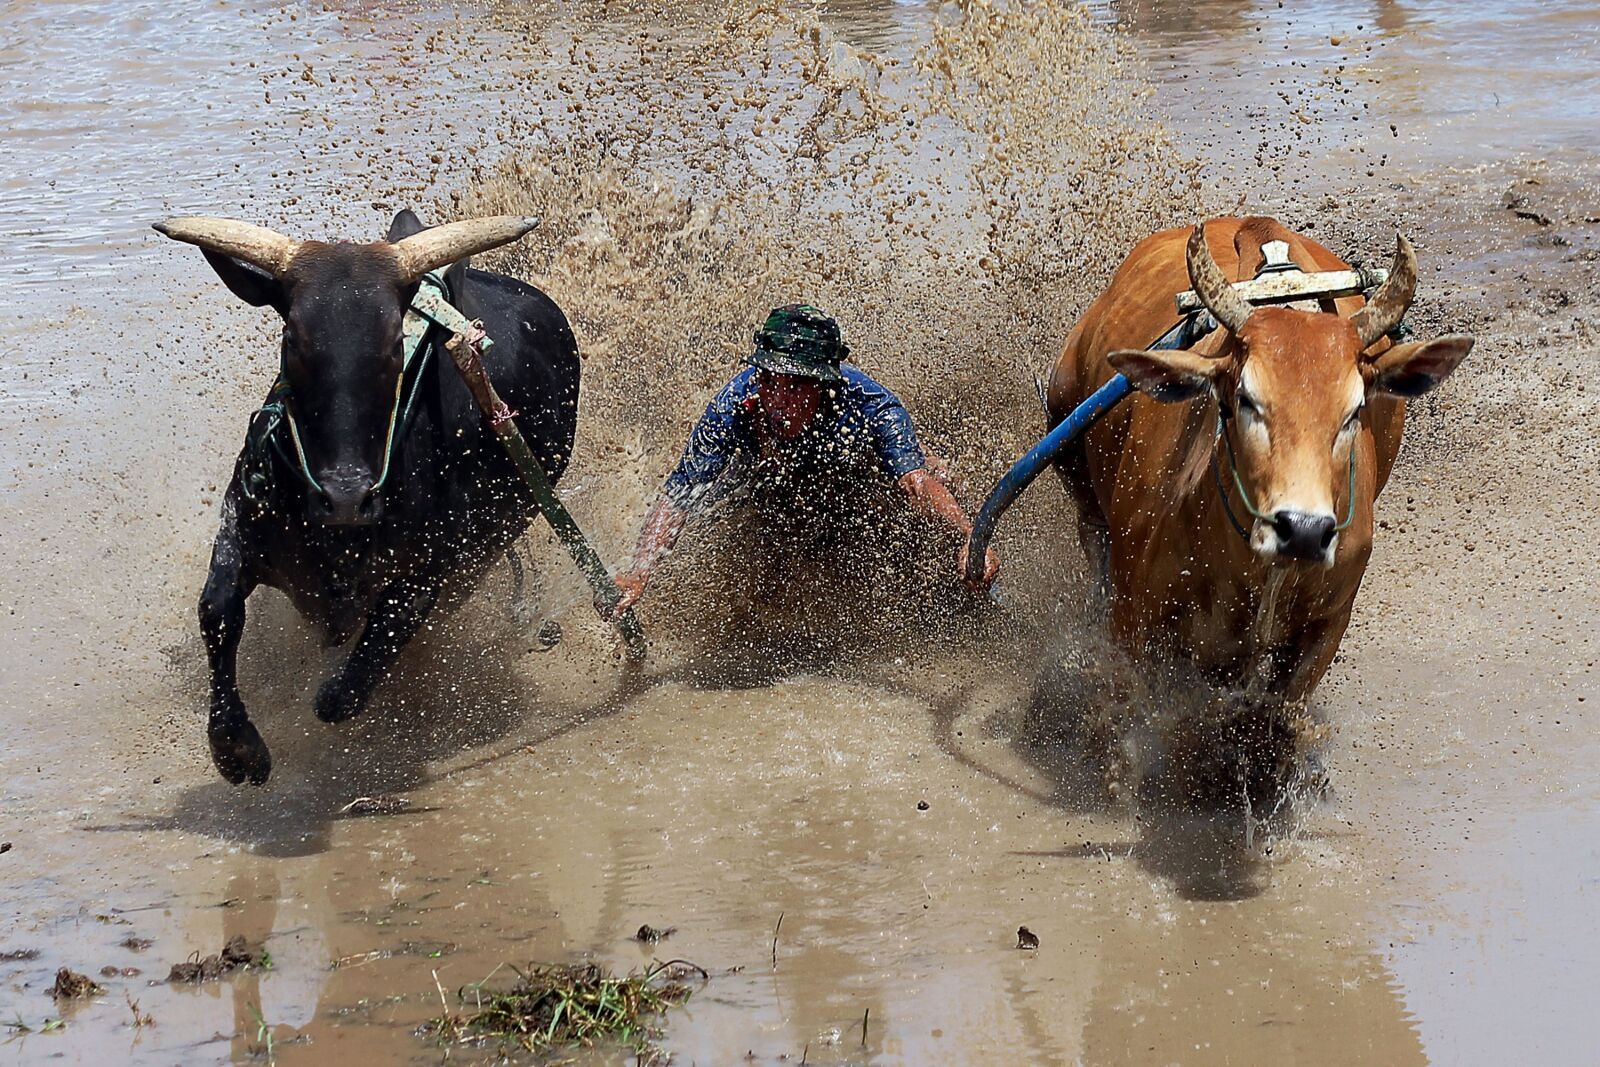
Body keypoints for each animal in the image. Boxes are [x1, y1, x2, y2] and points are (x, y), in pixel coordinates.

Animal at [156, 211, 581, 785]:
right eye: (293, 337)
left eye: (393, 343)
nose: (346, 495)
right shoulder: (240, 525)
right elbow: (217, 609)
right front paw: (235, 748)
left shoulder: (429, 574)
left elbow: (344, 690)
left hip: (492, 543)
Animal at [1046, 216, 1472, 793]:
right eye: (1244, 399)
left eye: (1355, 409)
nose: (1305, 530)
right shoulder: (1133, 618)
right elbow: (1123, 717)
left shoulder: (1326, 626)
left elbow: (1277, 721)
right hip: (1071, 451)